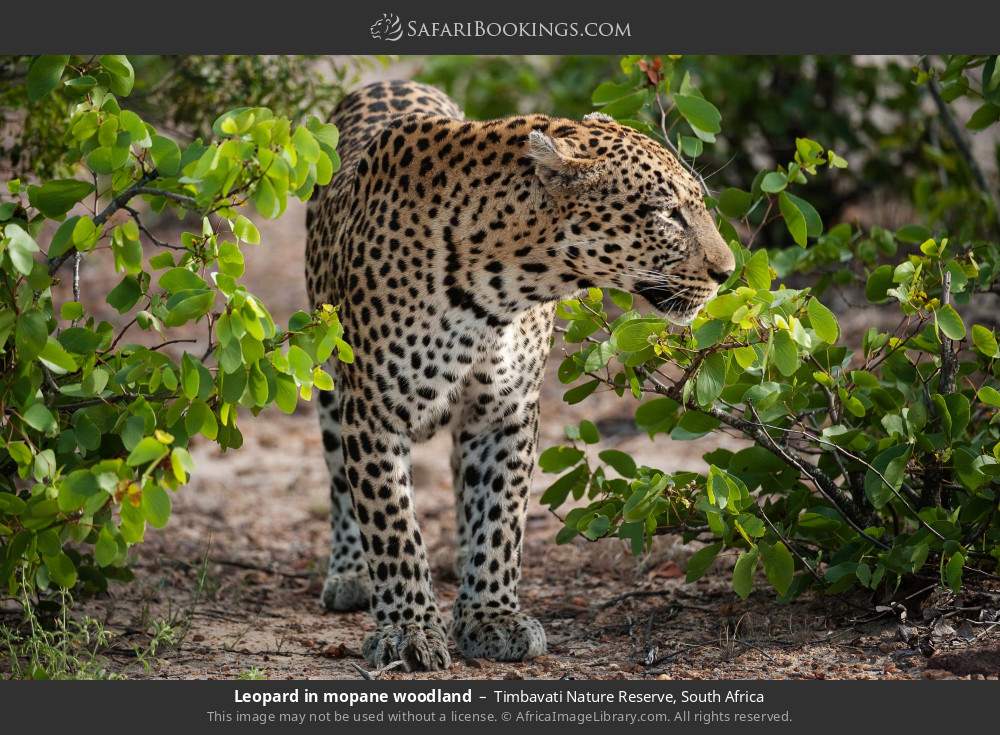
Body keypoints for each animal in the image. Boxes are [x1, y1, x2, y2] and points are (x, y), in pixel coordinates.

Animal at [304, 79, 735, 672]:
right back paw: (350, 573)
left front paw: (490, 617)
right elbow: (392, 527)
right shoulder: (376, 411)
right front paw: (408, 630)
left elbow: (499, 518)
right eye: (667, 214)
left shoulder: (505, 412)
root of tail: (390, 80)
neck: (498, 288)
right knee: (340, 482)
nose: (728, 272)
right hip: (331, 383)